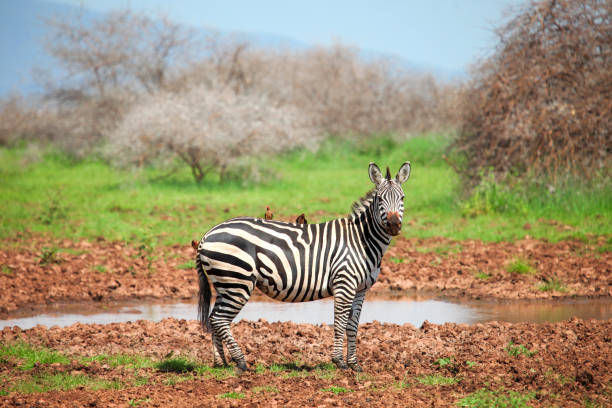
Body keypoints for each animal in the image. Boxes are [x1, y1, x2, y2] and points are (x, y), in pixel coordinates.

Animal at [196, 161, 412, 372]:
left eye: (402, 198)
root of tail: (207, 234)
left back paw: (220, 363)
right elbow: (340, 323)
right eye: (380, 199)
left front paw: (354, 364)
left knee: (214, 318)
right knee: (219, 319)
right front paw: (340, 362)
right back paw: (240, 362)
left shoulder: (361, 289)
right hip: (237, 282)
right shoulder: (344, 283)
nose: (394, 225)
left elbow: (353, 326)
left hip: (225, 283)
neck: (361, 240)